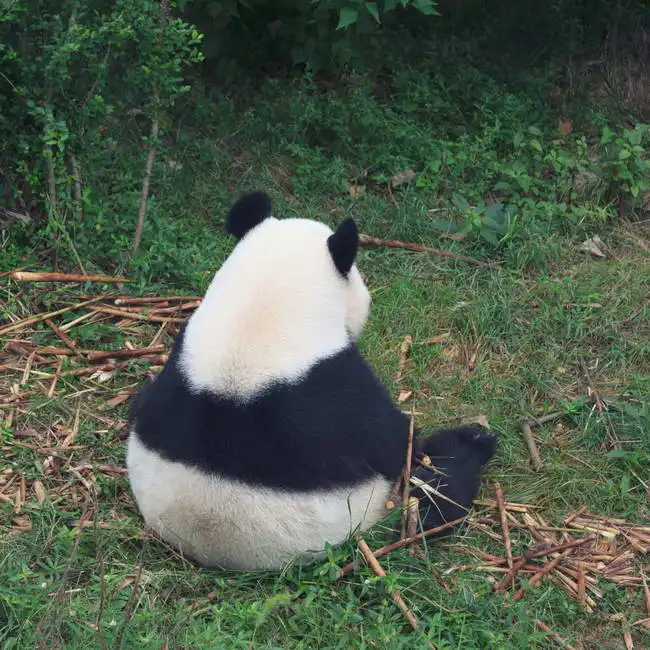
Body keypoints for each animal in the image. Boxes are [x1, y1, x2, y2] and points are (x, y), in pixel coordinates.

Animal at [126, 191, 497, 571]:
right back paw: (473, 443)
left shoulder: (183, 353)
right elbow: (398, 439)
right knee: (434, 491)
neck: (263, 307)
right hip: (377, 510)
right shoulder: (341, 386)